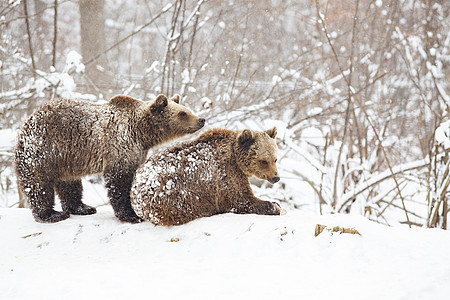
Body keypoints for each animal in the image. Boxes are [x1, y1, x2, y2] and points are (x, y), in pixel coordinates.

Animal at [13, 94, 204, 223]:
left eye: (187, 109)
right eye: (183, 113)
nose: (201, 119)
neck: (142, 133)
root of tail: (27, 123)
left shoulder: (138, 151)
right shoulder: (120, 146)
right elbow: (119, 182)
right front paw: (131, 215)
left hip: (66, 159)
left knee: (70, 183)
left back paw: (83, 208)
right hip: (43, 149)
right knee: (38, 184)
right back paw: (51, 214)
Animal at [130, 126, 284, 225]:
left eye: (275, 159)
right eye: (263, 161)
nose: (276, 177)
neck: (236, 158)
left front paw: (276, 203)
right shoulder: (225, 174)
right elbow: (240, 200)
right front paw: (274, 206)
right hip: (174, 196)